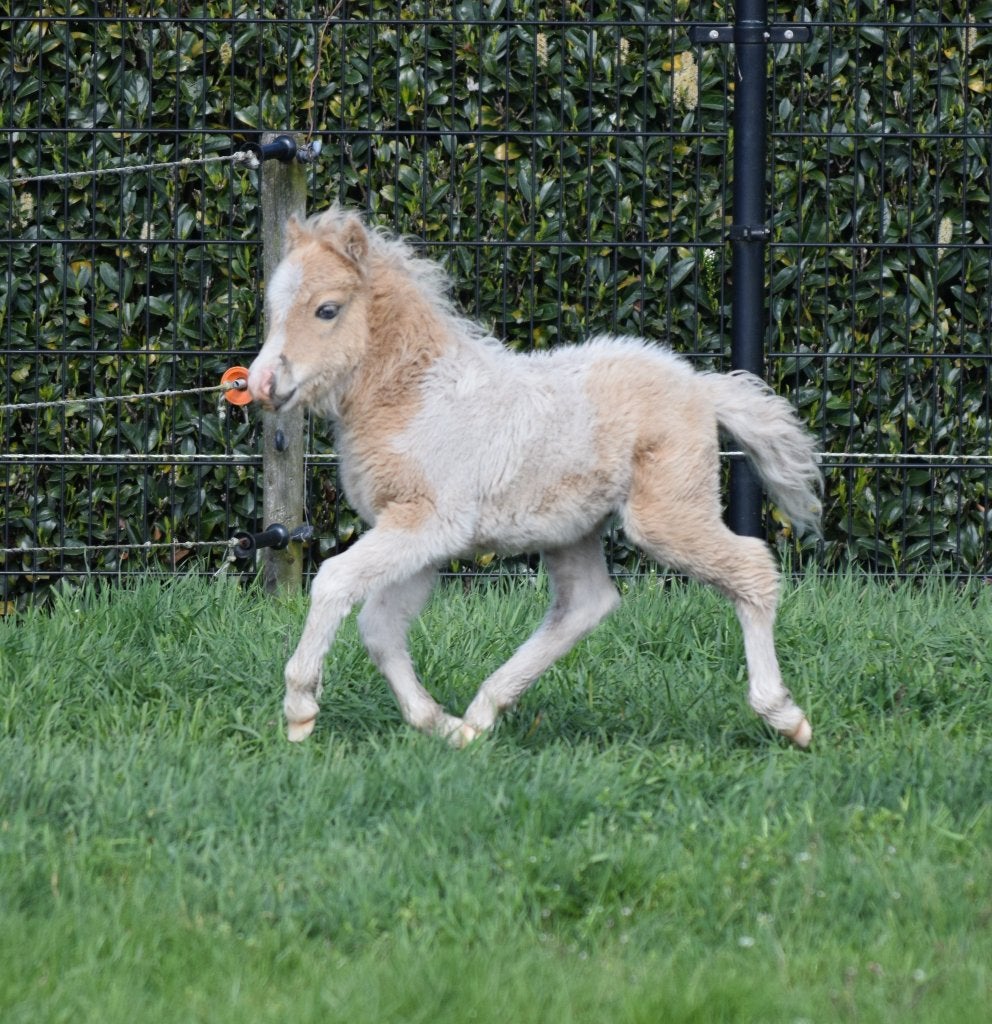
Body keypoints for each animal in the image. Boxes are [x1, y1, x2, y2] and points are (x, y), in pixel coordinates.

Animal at [247, 207, 822, 749]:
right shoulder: (419, 534)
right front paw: (439, 725)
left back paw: (784, 716)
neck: (418, 394)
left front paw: (300, 707)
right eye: (273, 309)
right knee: (586, 604)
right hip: (570, 527)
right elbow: (380, 628)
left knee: (752, 568)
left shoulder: (429, 522)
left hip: (666, 514)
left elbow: (333, 581)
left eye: (327, 309)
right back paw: (482, 714)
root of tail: (701, 386)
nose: (261, 383)